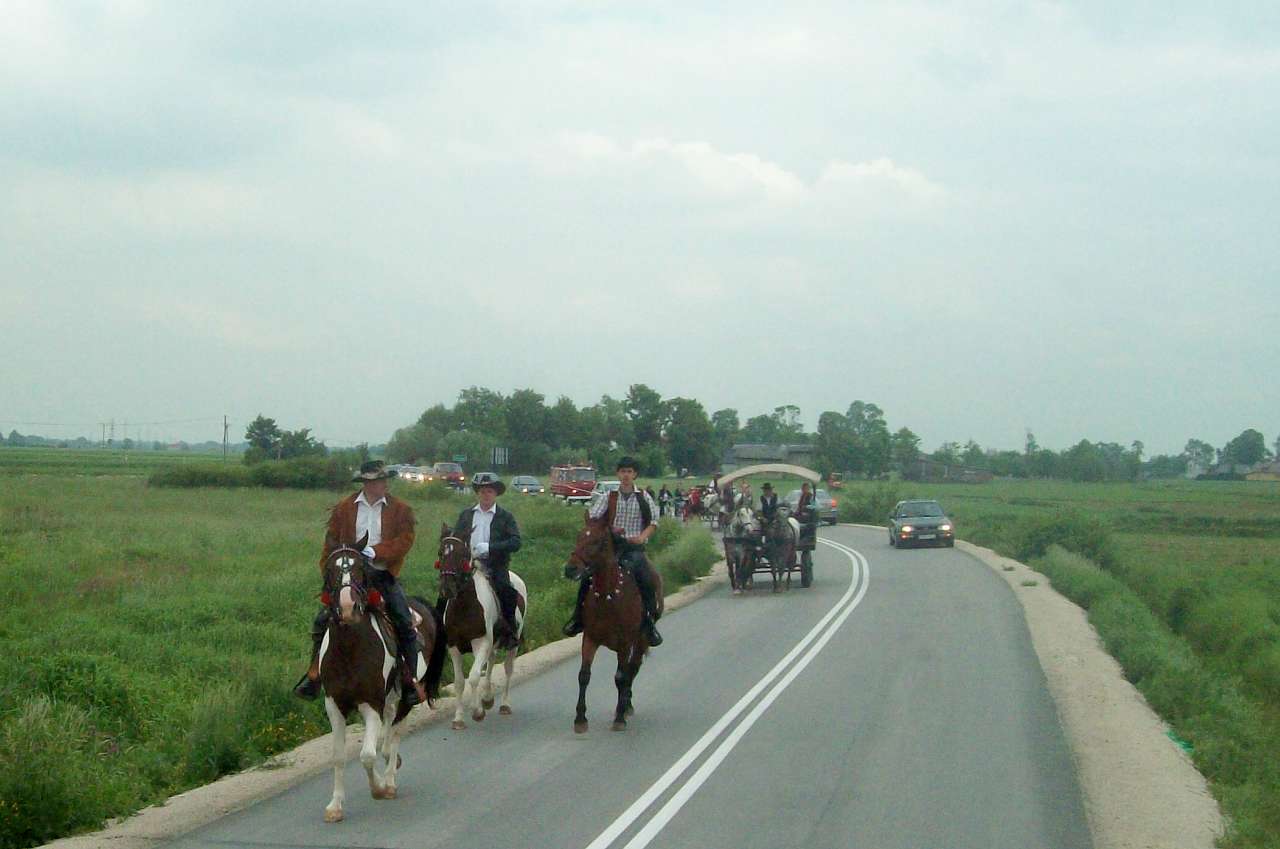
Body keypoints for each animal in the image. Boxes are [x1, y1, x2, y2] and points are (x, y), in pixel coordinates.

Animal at [317, 537, 448, 824]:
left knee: (394, 734)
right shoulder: (334, 705)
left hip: (407, 696)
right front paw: (335, 805)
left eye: (361, 570)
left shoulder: (371, 704)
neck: (349, 649)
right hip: (389, 697)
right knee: (389, 733)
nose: (348, 608)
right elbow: (338, 757)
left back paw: (389, 781)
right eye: (331, 571)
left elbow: (367, 755)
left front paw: (377, 787)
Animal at [435, 525, 524, 732]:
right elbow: (460, 682)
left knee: (508, 668)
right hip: (493, 642)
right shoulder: (454, 646)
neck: (464, 605)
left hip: (512, 642)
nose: (447, 588)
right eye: (441, 553)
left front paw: (477, 711)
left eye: (462, 554)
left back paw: (504, 704)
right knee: (491, 662)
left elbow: (474, 676)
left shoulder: (481, 642)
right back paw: (488, 698)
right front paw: (458, 718)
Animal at [563, 514, 660, 732]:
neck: (608, 596)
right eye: (579, 536)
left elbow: (621, 676)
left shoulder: (625, 642)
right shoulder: (590, 638)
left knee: (632, 669)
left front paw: (620, 718)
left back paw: (625, 706)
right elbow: (584, 675)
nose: (570, 569)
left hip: (640, 640)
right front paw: (580, 719)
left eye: (597, 541)